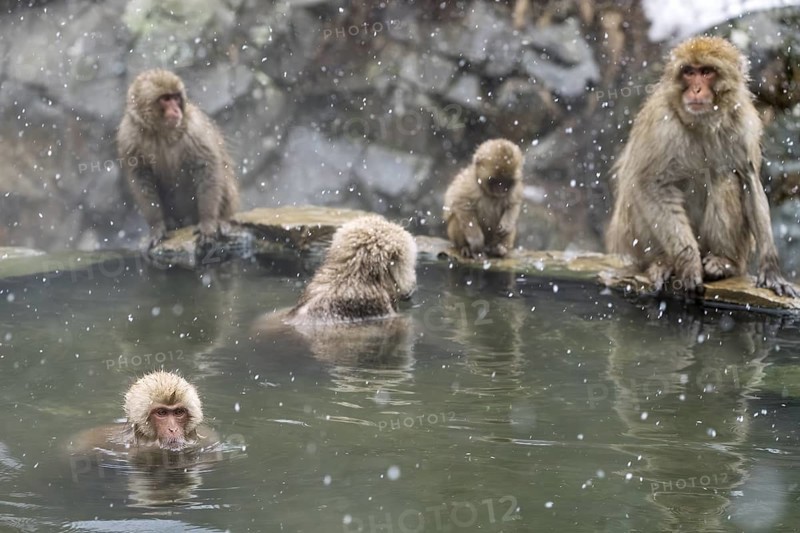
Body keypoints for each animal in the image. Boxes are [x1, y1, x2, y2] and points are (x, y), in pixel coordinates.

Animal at [117, 69, 239, 249]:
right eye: (166, 99)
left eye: (176, 98)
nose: (176, 110)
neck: (160, 132)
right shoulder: (127, 135)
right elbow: (141, 177)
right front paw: (157, 226)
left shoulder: (195, 129)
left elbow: (206, 167)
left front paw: (208, 222)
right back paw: (171, 223)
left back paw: (222, 221)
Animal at [605, 36, 798, 298]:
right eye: (689, 72)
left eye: (706, 72)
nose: (696, 89)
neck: (703, 122)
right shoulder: (661, 124)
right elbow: (650, 184)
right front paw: (689, 264)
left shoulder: (743, 125)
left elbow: (749, 180)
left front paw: (770, 269)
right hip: (632, 239)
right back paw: (663, 262)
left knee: (726, 178)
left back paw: (723, 263)